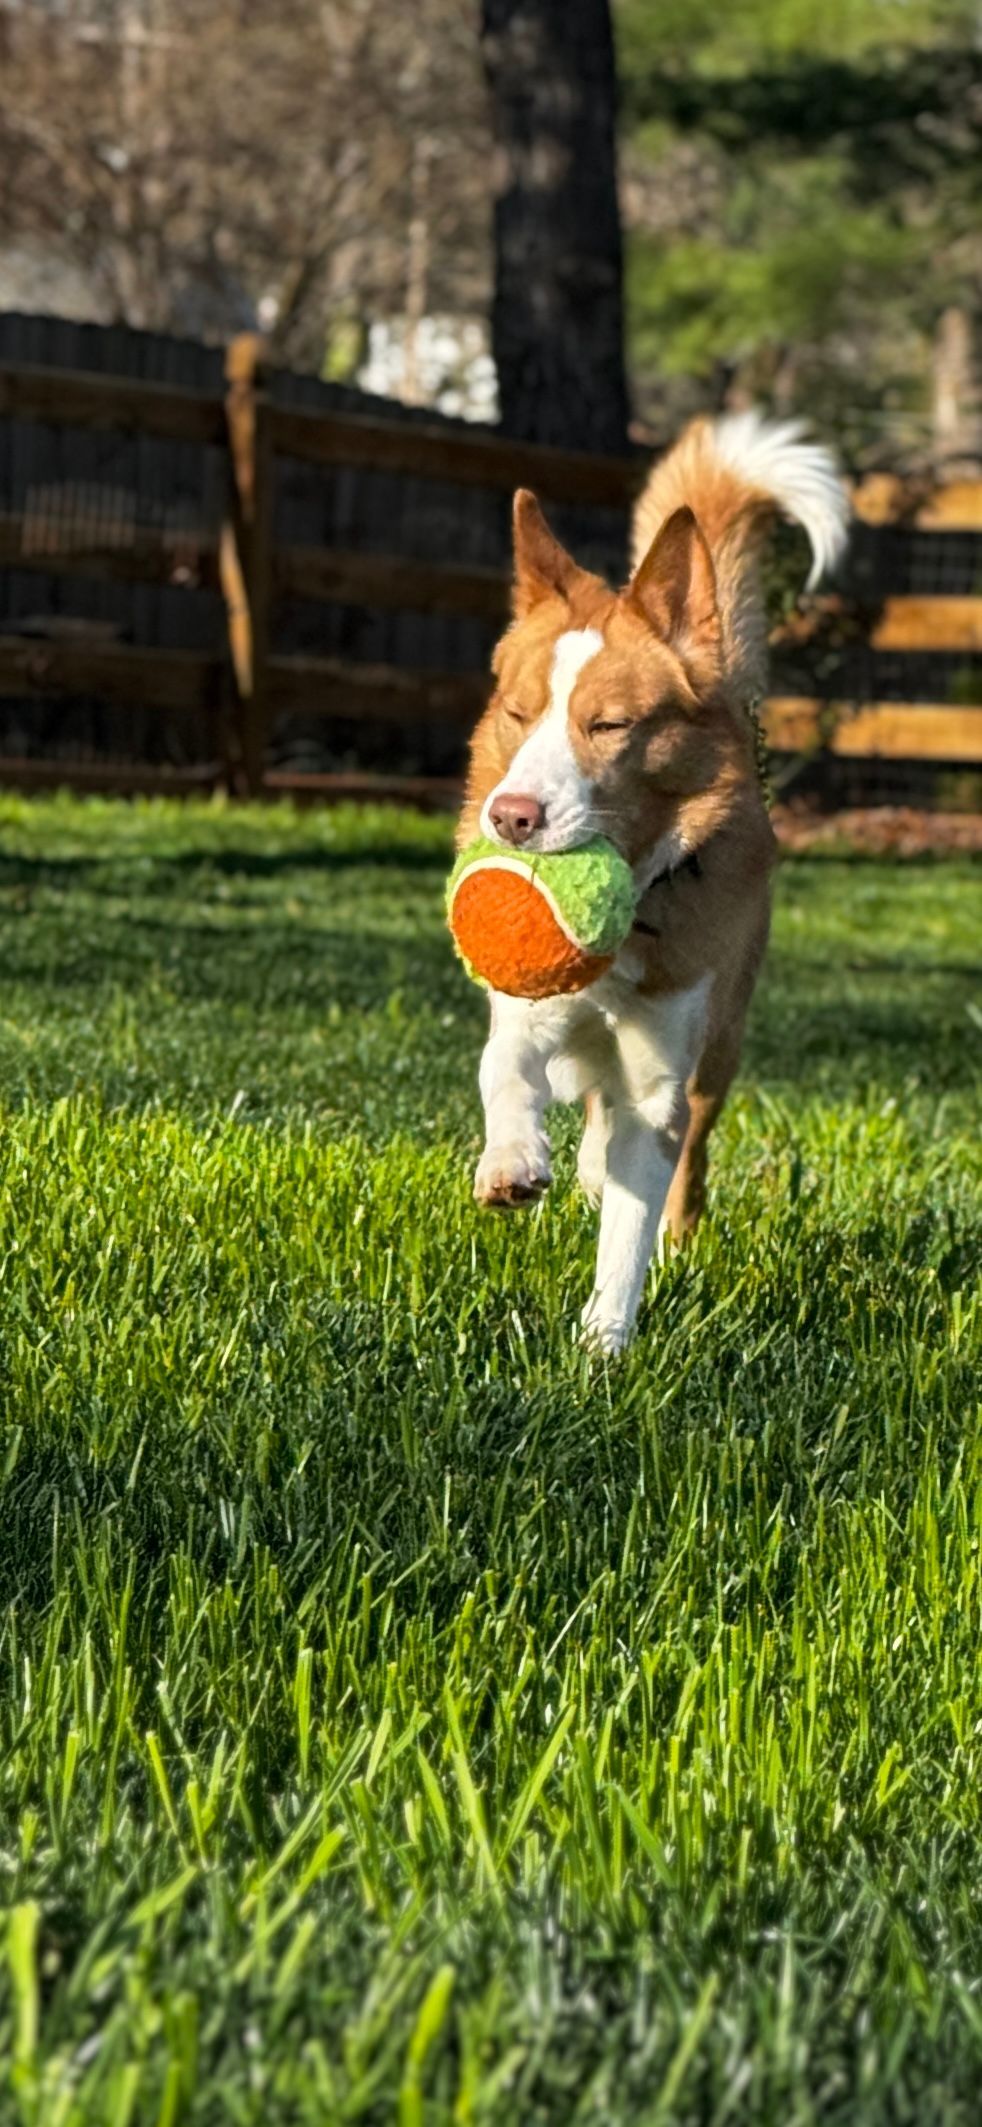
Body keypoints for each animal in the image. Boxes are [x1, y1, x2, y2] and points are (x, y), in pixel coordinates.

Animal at [456, 406, 845, 1352]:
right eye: (518, 712)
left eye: (609, 724)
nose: (511, 817)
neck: (633, 911)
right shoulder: (526, 1006)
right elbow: (503, 1064)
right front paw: (512, 1161)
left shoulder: (665, 1078)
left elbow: (632, 1224)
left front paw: (604, 1347)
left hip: (722, 1040)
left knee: (687, 1158)